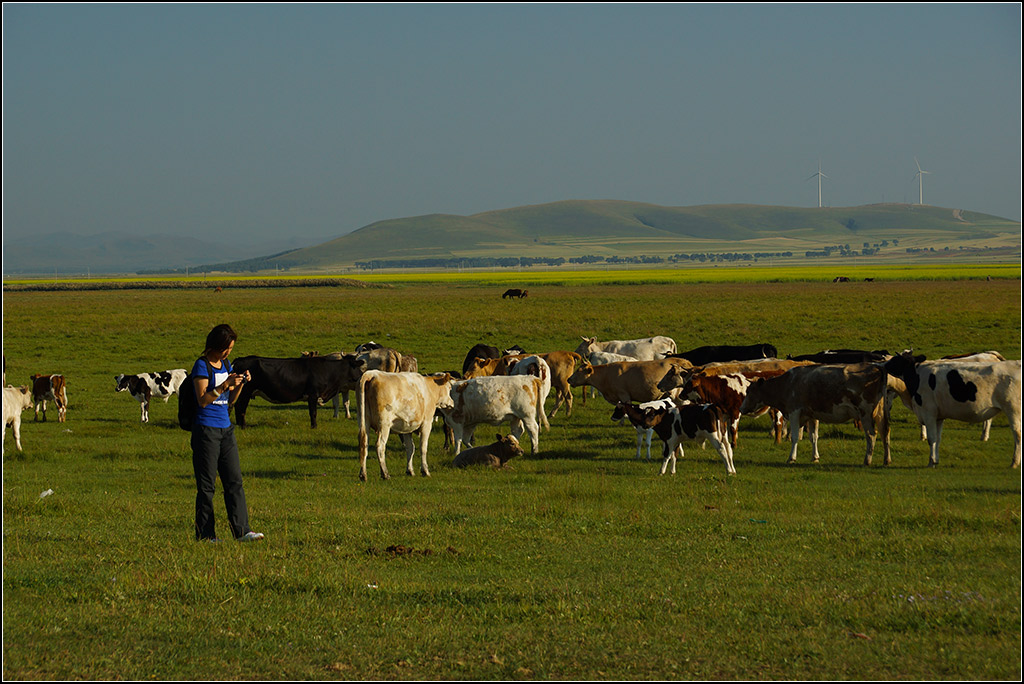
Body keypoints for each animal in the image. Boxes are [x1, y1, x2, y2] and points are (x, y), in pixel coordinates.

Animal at [737, 362, 888, 464]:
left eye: (749, 391)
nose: (741, 409)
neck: (787, 383)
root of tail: (875, 367)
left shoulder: (794, 412)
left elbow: (795, 437)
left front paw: (791, 458)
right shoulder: (812, 415)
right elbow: (814, 437)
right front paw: (815, 457)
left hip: (865, 413)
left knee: (871, 435)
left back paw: (867, 460)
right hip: (880, 413)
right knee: (885, 433)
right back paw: (887, 460)